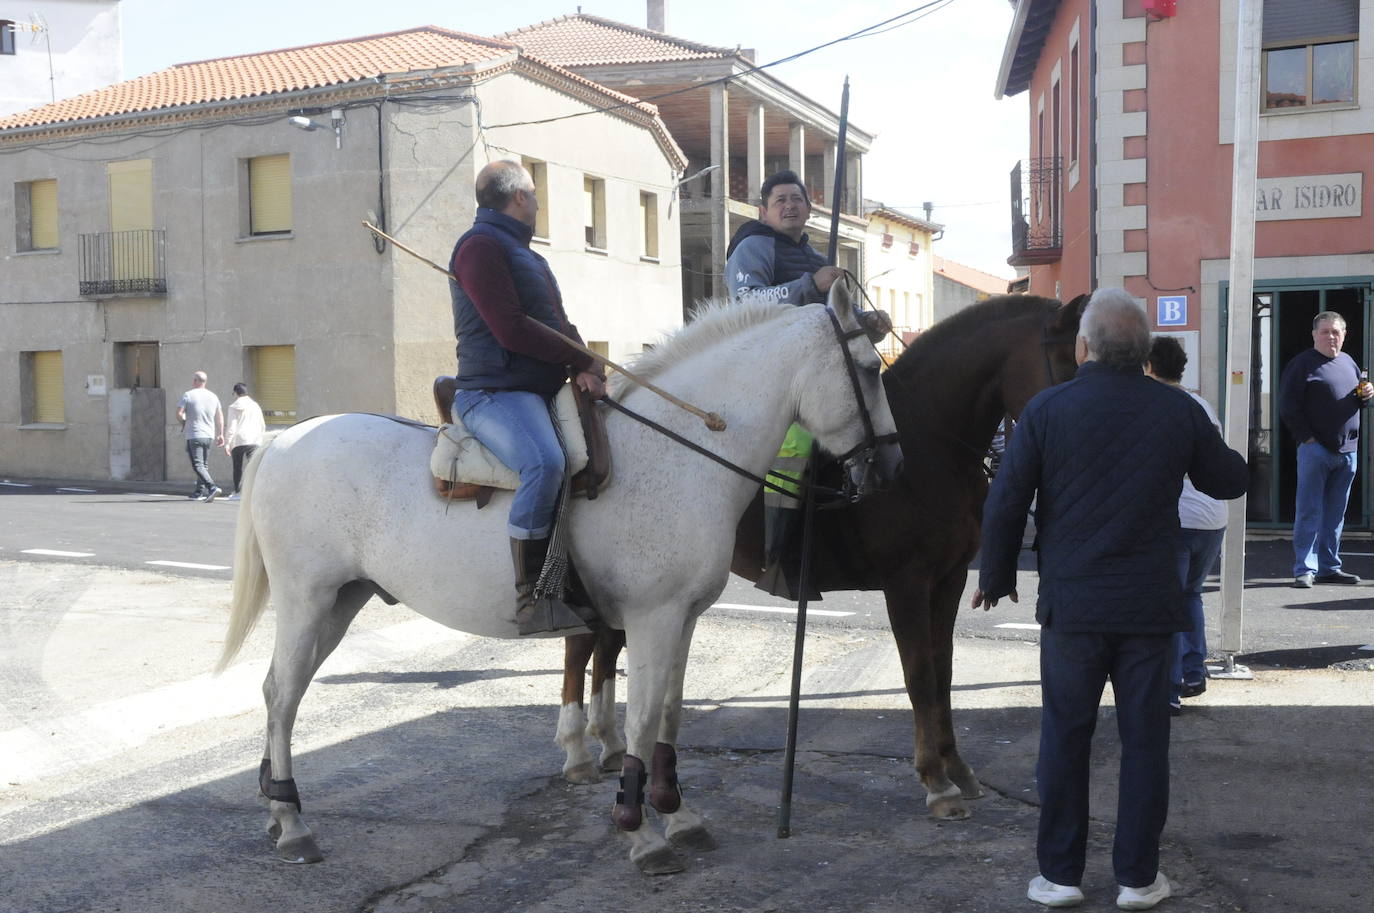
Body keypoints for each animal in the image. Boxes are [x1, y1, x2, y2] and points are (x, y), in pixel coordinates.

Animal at [217, 287, 901, 880]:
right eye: (870, 370)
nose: (890, 468)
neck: (680, 451)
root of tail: (282, 439)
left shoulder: (681, 619)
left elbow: (670, 714)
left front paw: (677, 814)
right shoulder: (651, 617)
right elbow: (642, 718)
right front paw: (641, 831)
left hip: (341, 602)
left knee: (283, 694)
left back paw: (278, 809)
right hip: (307, 600)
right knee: (281, 693)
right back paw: (293, 823)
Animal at [555, 294, 1082, 819]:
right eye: (1066, 360)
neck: (929, 452)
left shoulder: (949, 580)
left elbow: (943, 671)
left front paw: (956, 767)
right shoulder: (906, 584)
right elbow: (919, 674)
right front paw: (936, 780)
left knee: (607, 647)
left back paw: (610, 744)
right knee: (582, 647)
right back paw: (578, 751)